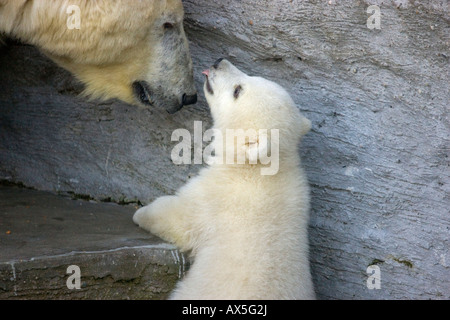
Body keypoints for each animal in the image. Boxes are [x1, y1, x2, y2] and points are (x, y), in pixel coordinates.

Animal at [134, 58, 316, 298]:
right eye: (252, 77)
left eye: (237, 90)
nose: (219, 62)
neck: (258, 169)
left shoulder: (217, 194)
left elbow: (181, 216)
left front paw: (141, 213)